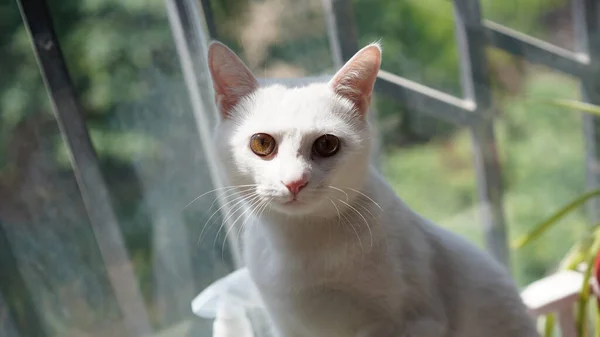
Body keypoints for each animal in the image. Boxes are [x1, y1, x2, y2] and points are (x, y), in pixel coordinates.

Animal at [207, 42, 540, 336]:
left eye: (326, 144)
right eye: (262, 143)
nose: (294, 181)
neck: (301, 244)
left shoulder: (417, 322)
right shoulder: (286, 326)